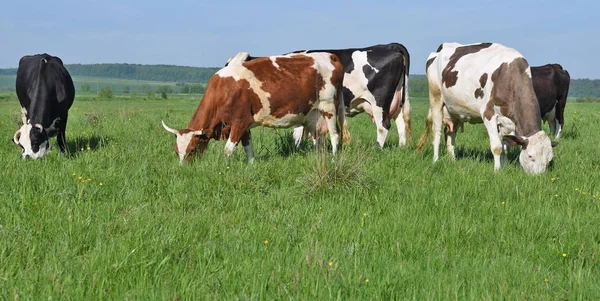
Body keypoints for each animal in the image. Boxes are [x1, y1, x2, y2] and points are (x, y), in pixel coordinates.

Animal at [162, 51, 344, 164]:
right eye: (176, 151)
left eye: (192, 150)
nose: (184, 169)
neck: (223, 90)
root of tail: (330, 55)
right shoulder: (245, 125)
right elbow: (248, 147)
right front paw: (251, 165)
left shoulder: (240, 122)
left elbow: (228, 149)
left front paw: (224, 167)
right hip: (312, 115)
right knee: (318, 140)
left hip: (329, 107)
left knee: (335, 136)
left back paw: (334, 159)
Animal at [225, 43, 412, 148]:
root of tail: (389, 46)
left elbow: (298, 134)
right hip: (397, 100)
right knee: (401, 124)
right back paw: (402, 148)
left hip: (379, 101)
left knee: (383, 125)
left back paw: (376, 149)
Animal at [414, 42, 556, 173]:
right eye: (530, 156)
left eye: (549, 159)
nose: (538, 177)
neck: (509, 76)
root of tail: (441, 48)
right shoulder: (489, 114)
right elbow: (497, 147)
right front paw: (497, 171)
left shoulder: (509, 122)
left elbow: (506, 146)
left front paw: (504, 166)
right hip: (436, 99)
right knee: (436, 132)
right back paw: (435, 160)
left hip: (454, 110)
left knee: (450, 134)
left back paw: (453, 160)